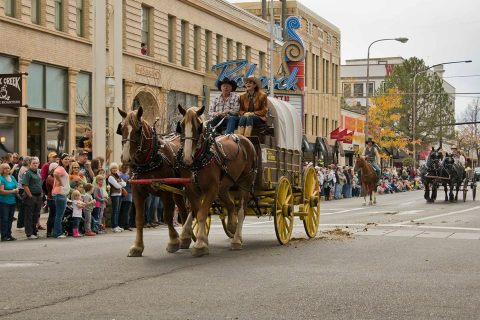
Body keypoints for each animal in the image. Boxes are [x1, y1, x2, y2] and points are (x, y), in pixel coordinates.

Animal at [118, 107, 189, 258]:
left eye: (138, 130)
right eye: (121, 128)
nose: (126, 158)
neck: (149, 160)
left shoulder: (165, 191)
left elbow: (167, 216)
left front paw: (173, 242)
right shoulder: (137, 192)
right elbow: (139, 219)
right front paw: (137, 247)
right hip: (178, 190)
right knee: (183, 210)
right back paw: (186, 238)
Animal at [177, 105, 258, 258]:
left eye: (199, 126)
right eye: (181, 125)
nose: (186, 158)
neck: (199, 159)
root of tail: (243, 138)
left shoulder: (211, 189)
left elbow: (202, 214)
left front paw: (200, 245)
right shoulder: (192, 189)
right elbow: (197, 212)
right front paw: (202, 240)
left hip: (245, 182)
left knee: (241, 210)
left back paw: (236, 239)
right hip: (224, 187)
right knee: (231, 205)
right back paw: (232, 226)